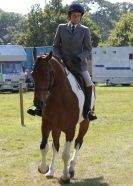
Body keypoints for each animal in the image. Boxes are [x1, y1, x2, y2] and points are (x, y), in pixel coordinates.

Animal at [31, 50, 93, 183]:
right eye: (32, 74)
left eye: (47, 74)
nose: (38, 103)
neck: (60, 97)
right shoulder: (46, 124)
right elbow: (44, 146)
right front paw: (43, 168)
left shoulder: (70, 129)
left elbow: (65, 154)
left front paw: (65, 176)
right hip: (56, 128)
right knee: (56, 146)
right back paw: (51, 171)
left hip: (84, 124)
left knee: (78, 142)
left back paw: (71, 168)